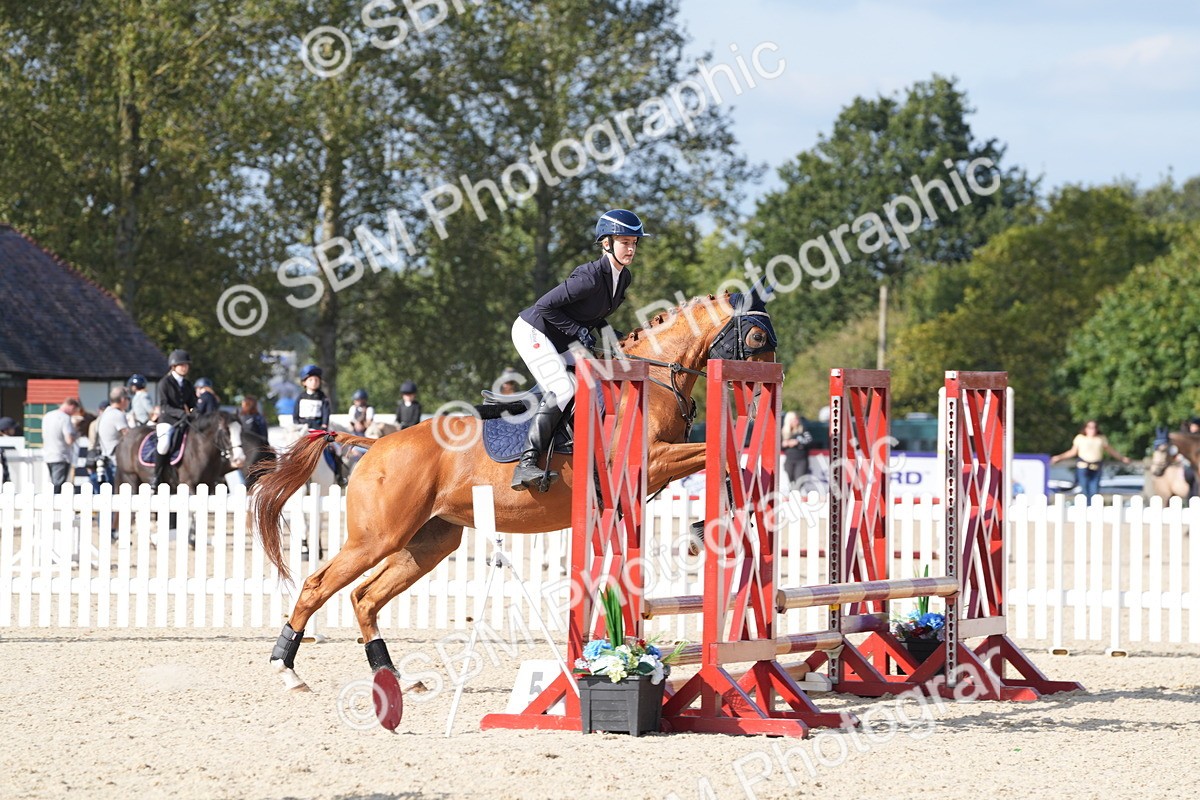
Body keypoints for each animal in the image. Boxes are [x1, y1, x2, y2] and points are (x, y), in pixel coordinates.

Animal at [251, 289, 778, 697]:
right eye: (757, 339)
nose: (764, 393)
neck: (651, 379)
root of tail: (376, 442)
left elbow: (722, 461)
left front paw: (711, 523)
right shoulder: (652, 462)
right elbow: (716, 456)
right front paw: (701, 529)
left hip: (429, 542)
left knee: (365, 597)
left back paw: (392, 676)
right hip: (377, 537)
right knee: (319, 585)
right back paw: (286, 668)